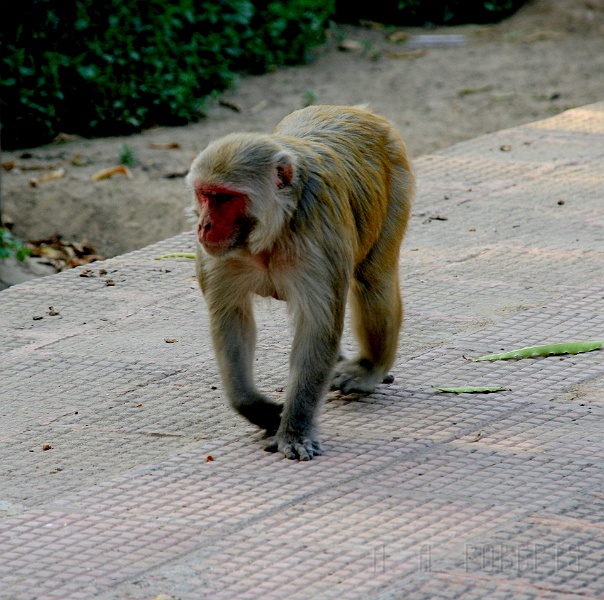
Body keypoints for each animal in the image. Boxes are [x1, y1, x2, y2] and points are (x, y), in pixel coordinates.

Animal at [188, 104, 416, 460]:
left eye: (224, 199)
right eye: (203, 195)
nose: (204, 226)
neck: (272, 230)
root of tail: (355, 110)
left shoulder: (319, 240)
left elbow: (317, 326)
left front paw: (295, 429)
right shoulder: (218, 258)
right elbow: (231, 319)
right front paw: (256, 408)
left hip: (396, 175)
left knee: (374, 282)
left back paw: (369, 368)